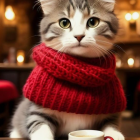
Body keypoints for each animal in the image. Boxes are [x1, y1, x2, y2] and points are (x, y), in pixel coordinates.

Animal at [9, 0, 123, 140]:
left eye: (93, 22)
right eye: (64, 23)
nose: (79, 36)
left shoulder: (112, 109)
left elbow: (112, 122)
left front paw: (115, 134)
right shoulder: (37, 108)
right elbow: (38, 123)